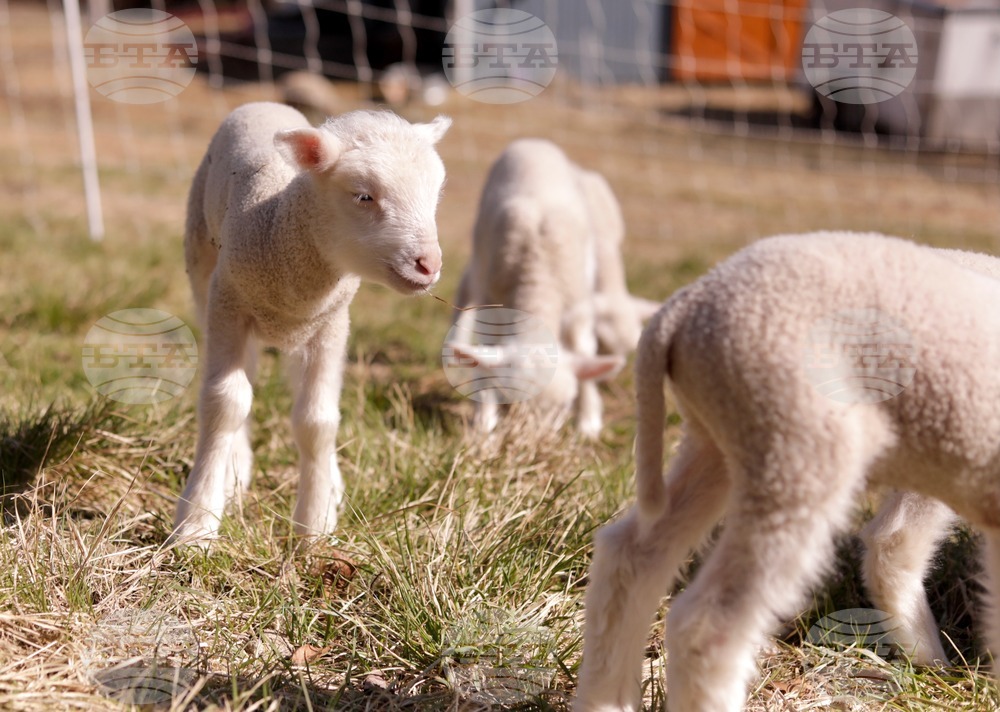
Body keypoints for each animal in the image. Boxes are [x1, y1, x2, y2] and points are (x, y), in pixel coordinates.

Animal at [172, 102, 451, 543]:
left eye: (435, 195)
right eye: (364, 196)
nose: (429, 264)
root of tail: (263, 103)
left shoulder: (329, 327)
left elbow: (317, 421)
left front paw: (314, 525)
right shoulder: (228, 306)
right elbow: (225, 404)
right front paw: (197, 523)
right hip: (203, 268)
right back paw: (234, 471)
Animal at [447, 138, 646, 437]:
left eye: (565, 406)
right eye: (509, 401)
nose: (535, 442)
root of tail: (533, 142)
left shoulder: (579, 310)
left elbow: (584, 352)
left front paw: (588, 421)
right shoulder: (493, 303)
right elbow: (485, 360)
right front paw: (485, 419)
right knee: (466, 285)